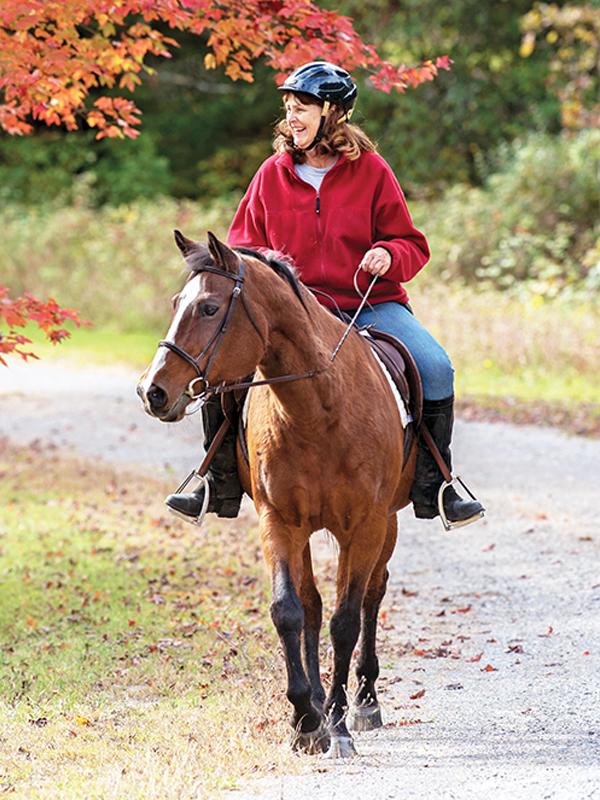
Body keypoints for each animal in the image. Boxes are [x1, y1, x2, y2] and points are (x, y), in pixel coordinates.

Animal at [137, 231, 417, 757]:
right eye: (176, 303)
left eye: (208, 308)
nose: (152, 391)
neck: (320, 408)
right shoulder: (279, 521)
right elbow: (289, 610)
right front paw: (306, 719)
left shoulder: (365, 525)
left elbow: (346, 620)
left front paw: (339, 722)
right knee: (312, 605)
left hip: (386, 523)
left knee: (372, 595)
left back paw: (366, 701)